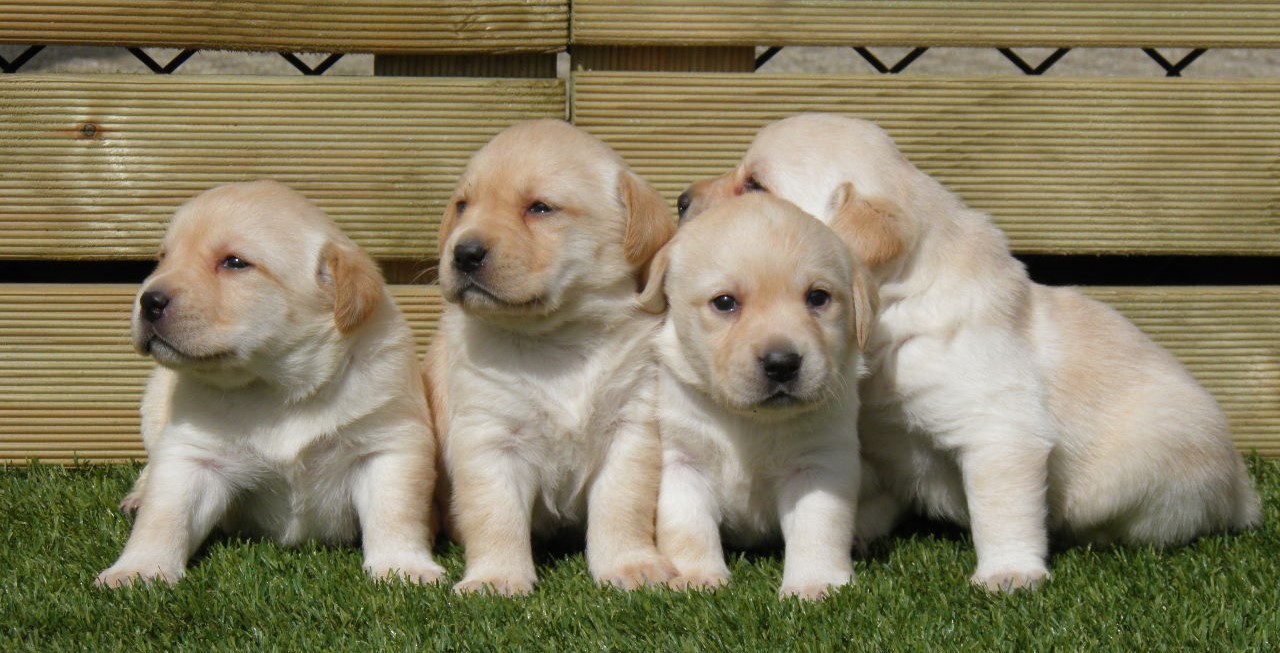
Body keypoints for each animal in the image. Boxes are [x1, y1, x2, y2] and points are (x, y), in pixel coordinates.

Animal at [96, 180, 443, 588]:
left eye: (234, 263)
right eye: (163, 258)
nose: (147, 300)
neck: (277, 388)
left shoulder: (388, 445)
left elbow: (396, 514)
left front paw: (403, 566)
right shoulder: (193, 457)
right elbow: (163, 517)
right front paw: (138, 569)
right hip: (154, 406)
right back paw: (138, 497)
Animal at [424, 119, 677, 595]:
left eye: (540, 208)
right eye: (463, 206)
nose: (463, 253)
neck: (556, 339)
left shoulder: (630, 427)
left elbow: (622, 506)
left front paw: (630, 564)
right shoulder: (489, 436)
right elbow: (495, 515)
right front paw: (496, 578)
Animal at [638, 193, 875, 600]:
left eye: (818, 297)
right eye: (725, 302)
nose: (782, 363)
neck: (750, 420)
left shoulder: (820, 464)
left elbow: (817, 527)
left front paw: (814, 582)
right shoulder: (683, 462)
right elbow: (686, 527)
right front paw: (696, 576)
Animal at [680, 113, 1262, 592]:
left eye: (757, 186)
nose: (683, 199)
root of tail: (1245, 494)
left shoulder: (1000, 432)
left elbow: (1000, 511)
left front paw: (1009, 573)